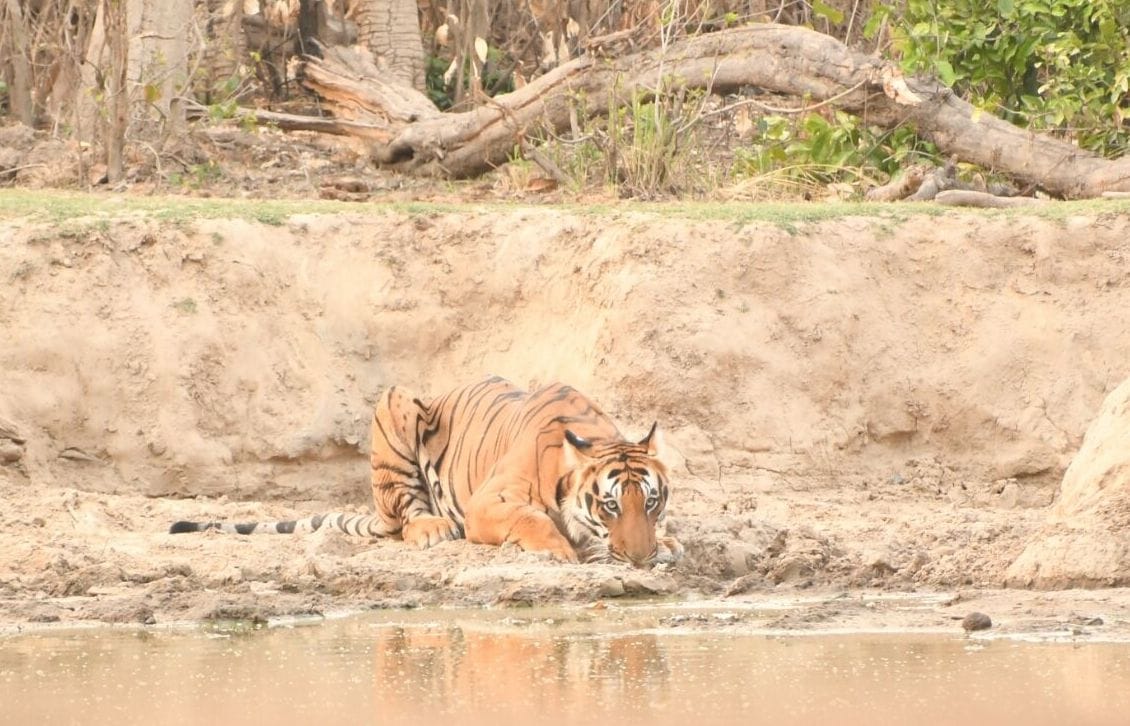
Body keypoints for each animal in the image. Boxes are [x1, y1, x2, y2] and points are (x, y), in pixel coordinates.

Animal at [170, 377, 683, 567]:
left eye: (650, 501)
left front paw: (669, 543)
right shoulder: (488, 502)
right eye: (610, 505)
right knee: (406, 518)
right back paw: (433, 529)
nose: (641, 560)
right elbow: (530, 518)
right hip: (395, 405)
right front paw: (559, 549)